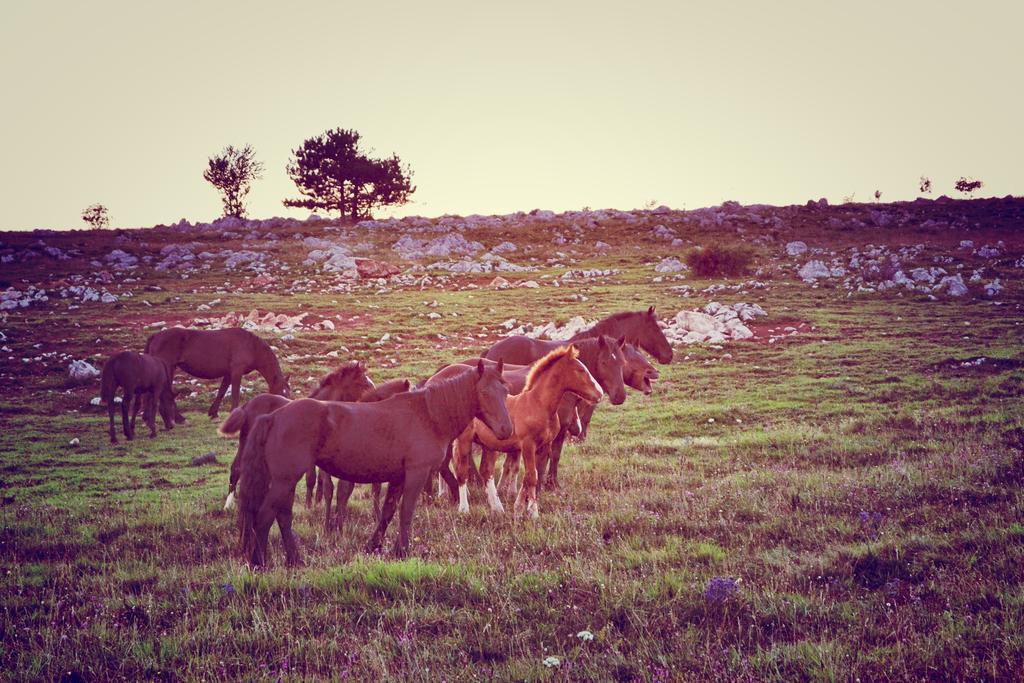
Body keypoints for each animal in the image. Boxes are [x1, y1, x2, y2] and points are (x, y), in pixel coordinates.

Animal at [144, 325, 290, 419]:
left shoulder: (228, 373)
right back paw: (177, 417)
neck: (251, 346)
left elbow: (221, 391)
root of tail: (156, 336)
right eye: (282, 393)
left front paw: (213, 413)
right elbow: (235, 393)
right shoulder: (236, 371)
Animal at [220, 360, 376, 509]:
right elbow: (311, 478)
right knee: (237, 468)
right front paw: (308, 506)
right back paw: (228, 506)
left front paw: (317, 503)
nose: (375, 398)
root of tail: (247, 405)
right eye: (362, 383)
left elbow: (320, 479)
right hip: (245, 442)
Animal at [237, 358, 512, 565]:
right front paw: (403, 551)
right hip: (285, 480)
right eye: (484, 392)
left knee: (282, 516)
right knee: (265, 516)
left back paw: (295, 559)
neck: (428, 415)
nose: (506, 430)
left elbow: (388, 512)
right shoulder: (416, 473)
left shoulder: (398, 478)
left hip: (286, 481)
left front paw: (375, 546)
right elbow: (406, 512)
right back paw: (260, 561)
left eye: (506, 390)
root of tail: (273, 416)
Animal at [448, 348, 598, 518]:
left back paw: (497, 508)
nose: (599, 394)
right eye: (580, 370)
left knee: (486, 471)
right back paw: (464, 509)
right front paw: (533, 513)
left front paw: (519, 508)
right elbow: (532, 476)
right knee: (462, 470)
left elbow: (533, 476)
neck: (538, 405)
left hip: (489, 445)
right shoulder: (527, 446)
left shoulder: (543, 446)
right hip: (464, 440)